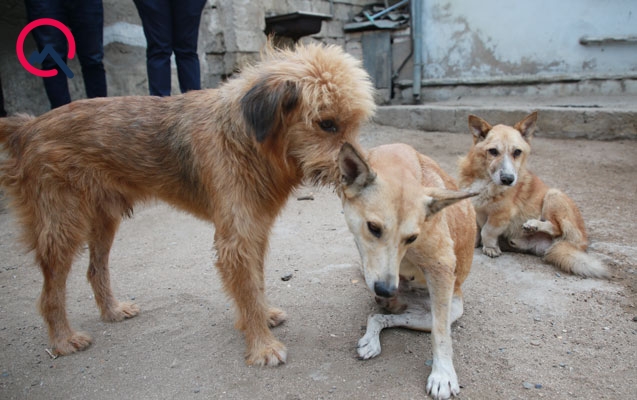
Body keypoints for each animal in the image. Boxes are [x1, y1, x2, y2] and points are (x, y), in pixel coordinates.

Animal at [0, 43, 376, 366]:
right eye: (326, 123)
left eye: (354, 124)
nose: (362, 172)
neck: (247, 140)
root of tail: (28, 127)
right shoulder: (237, 238)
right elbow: (247, 288)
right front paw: (262, 345)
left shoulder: (254, 229)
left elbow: (255, 283)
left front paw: (263, 316)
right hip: (62, 226)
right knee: (50, 293)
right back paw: (63, 340)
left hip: (104, 217)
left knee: (96, 270)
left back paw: (112, 311)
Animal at [338, 142, 476, 398]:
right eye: (373, 227)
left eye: (412, 238)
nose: (386, 290)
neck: (399, 158)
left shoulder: (441, 265)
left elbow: (441, 336)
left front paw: (442, 375)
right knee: (377, 316)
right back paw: (372, 338)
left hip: (442, 311)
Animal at [458, 112, 608, 278]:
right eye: (493, 151)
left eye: (517, 152)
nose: (508, 179)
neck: (485, 180)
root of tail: (579, 244)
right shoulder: (473, 208)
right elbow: (475, 230)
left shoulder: (500, 215)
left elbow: (487, 231)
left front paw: (490, 247)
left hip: (553, 194)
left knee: (557, 228)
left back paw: (533, 225)